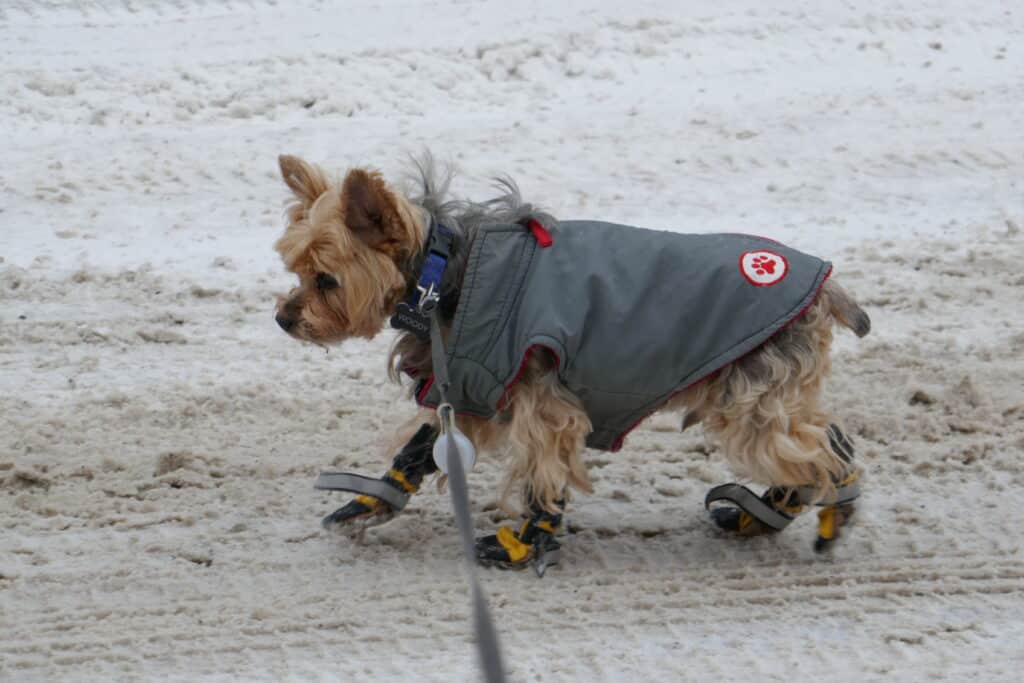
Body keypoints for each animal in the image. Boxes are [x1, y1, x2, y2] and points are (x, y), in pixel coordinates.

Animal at [274, 156, 872, 573]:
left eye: (326, 280)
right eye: (296, 271)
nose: (282, 318)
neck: (441, 274)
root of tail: (826, 289)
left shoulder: (539, 399)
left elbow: (545, 471)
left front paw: (522, 544)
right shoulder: (472, 387)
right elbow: (422, 446)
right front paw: (372, 501)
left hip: (749, 397)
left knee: (821, 451)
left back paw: (832, 509)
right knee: (815, 442)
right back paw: (761, 514)